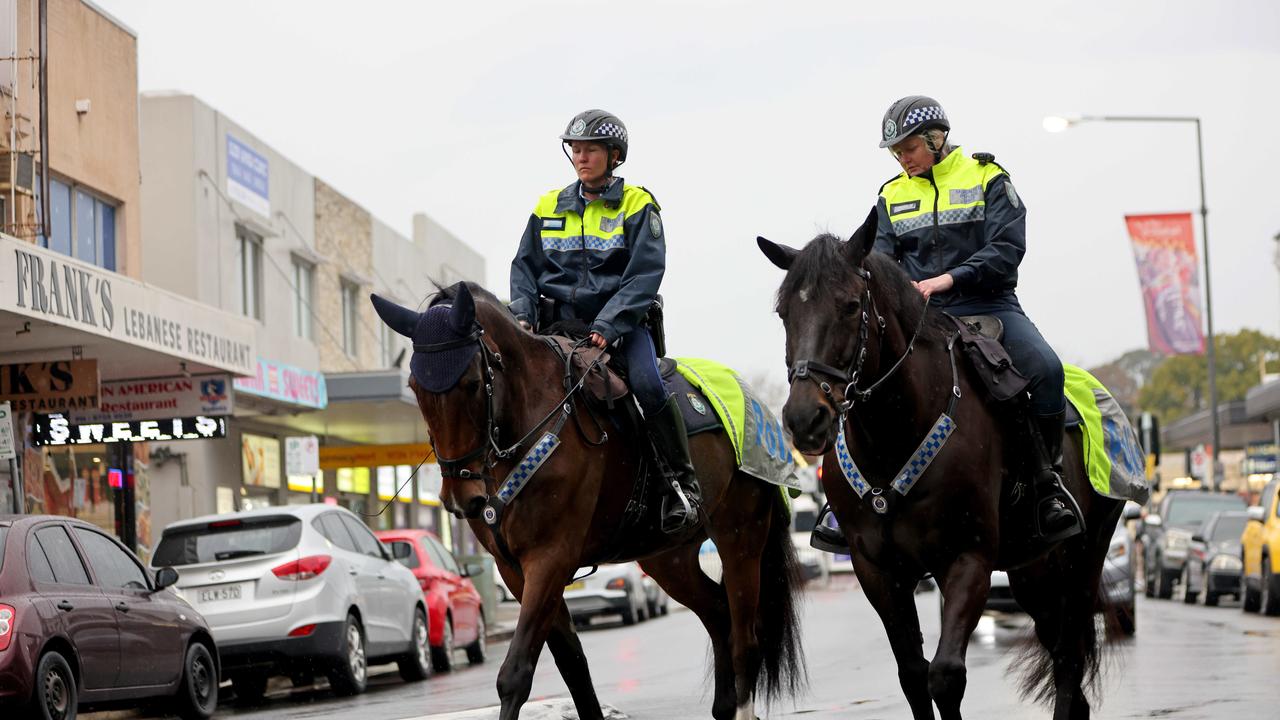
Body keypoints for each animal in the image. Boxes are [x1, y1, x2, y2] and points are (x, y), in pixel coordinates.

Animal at [371, 281, 803, 717]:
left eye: (473, 384)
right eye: (414, 388)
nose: (462, 497)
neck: (534, 421)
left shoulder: (550, 558)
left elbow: (515, 673)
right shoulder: (514, 570)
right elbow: (573, 665)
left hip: (740, 540)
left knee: (745, 637)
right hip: (668, 557)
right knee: (717, 612)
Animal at [757, 208, 1121, 717]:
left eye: (850, 305)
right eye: (784, 312)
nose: (804, 419)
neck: (896, 436)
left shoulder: (967, 559)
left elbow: (945, 676)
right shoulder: (878, 571)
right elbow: (913, 674)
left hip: (1084, 560)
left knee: (1069, 656)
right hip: (1034, 570)